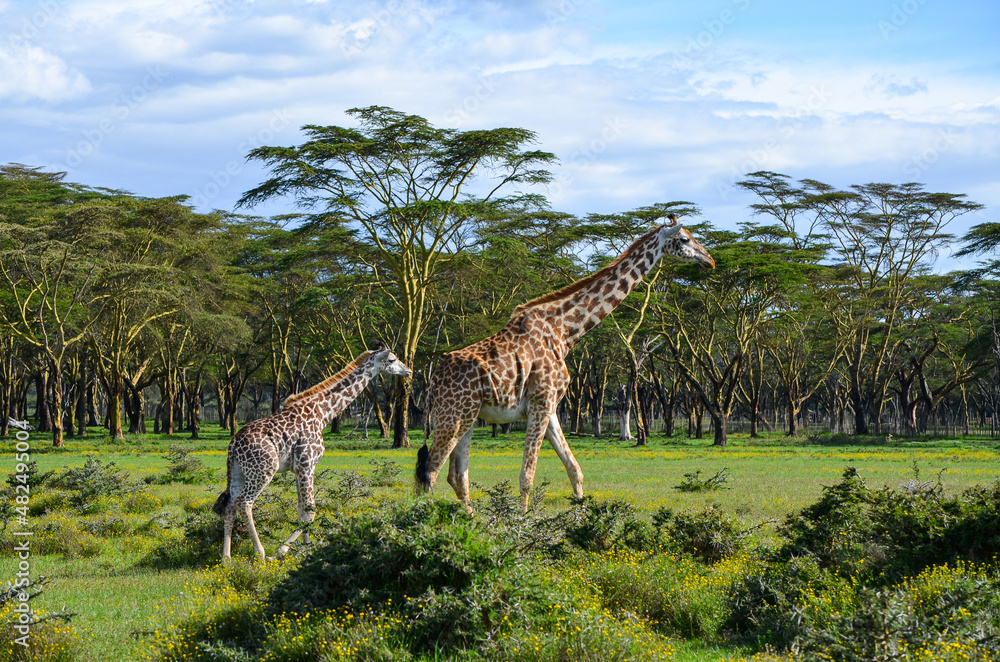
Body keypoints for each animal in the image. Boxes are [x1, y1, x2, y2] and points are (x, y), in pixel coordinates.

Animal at [213, 343, 412, 561]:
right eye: (392, 359)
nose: (409, 371)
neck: (323, 413)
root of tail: (233, 445)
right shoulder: (307, 464)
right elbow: (310, 511)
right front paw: (283, 550)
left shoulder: (299, 469)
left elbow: (302, 510)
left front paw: (305, 549)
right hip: (263, 470)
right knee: (244, 502)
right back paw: (261, 553)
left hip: (238, 471)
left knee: (230, 505)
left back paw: (226, 558)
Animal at [415, 214, 715, 511]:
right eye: (685, 239)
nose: (709, 260)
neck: (565, 330)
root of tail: (432, 382)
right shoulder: (540, 402)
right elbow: (527, 475)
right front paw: (522, 520)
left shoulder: (551, 407)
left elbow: (574, 469)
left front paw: (582, 515)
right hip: (452, 417)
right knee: (430, 472)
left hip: (468, 416)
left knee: (456, 476)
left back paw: (469, 518)